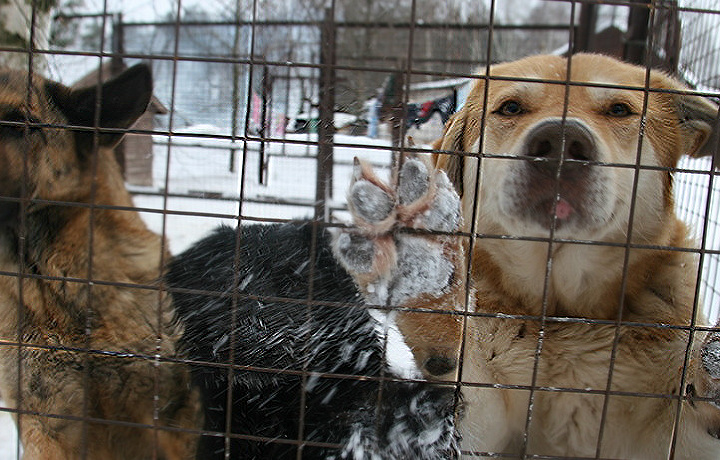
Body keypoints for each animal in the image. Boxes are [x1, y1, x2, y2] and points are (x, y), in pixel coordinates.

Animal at [334, 54, 720, 460]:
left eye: (619, 110)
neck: (564, 316)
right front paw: (427, 275)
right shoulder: (483, 428)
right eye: (511, 107)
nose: (561, 143)